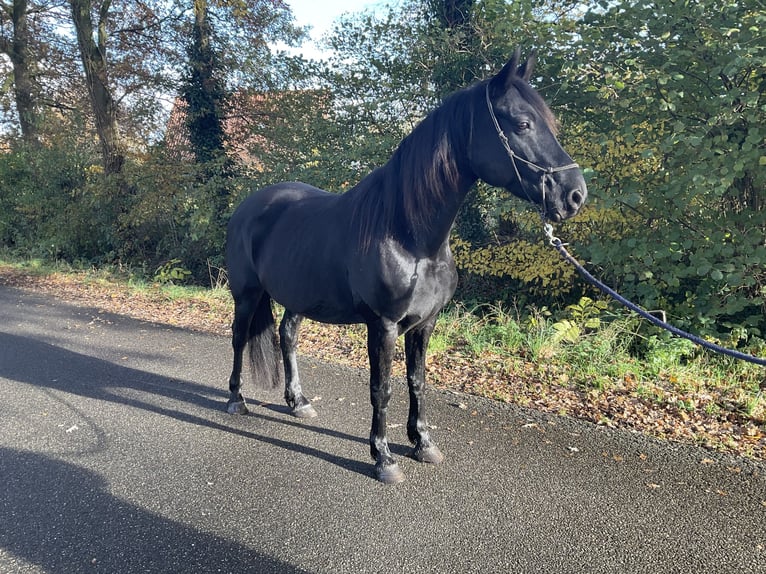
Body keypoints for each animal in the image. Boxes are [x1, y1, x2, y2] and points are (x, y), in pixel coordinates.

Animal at [226, 49, 588, 484]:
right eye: (522, 123)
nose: (575, 195)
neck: (410, 239)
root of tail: (249, 205)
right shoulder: (382, 326)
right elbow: (382, 389)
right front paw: (383, 458)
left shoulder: (425, 323)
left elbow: (418, 381)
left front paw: (423, 444)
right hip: (247, 295)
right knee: (239, 338)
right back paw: (236, 400)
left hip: (299, 296)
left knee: (287, 336)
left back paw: (298, 402)